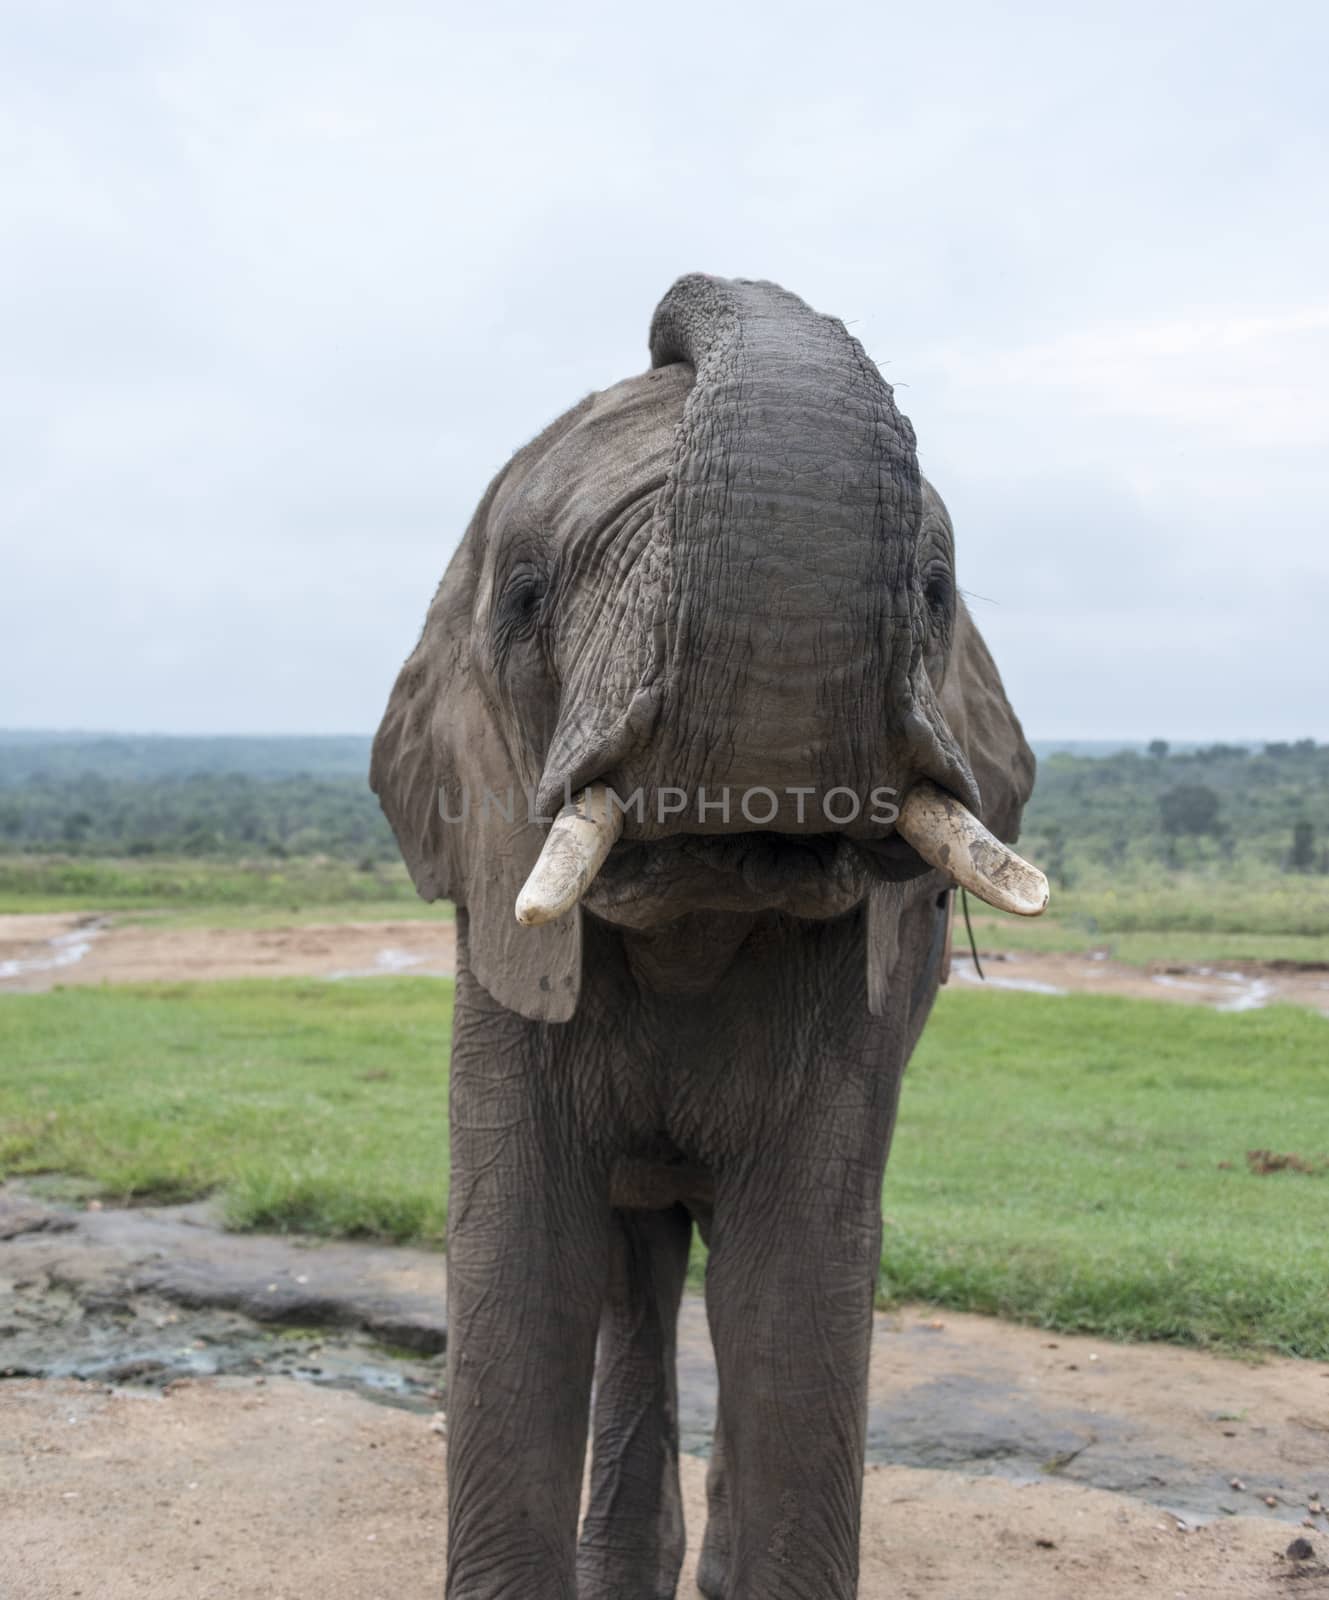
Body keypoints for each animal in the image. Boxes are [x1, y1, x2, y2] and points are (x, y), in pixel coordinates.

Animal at [369, 278, 1042, 1600]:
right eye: (525, 595)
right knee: (635, 1268)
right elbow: (522, 1265)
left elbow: (793, 1286)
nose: (667, 314)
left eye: (935, 593)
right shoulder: (503, 949)